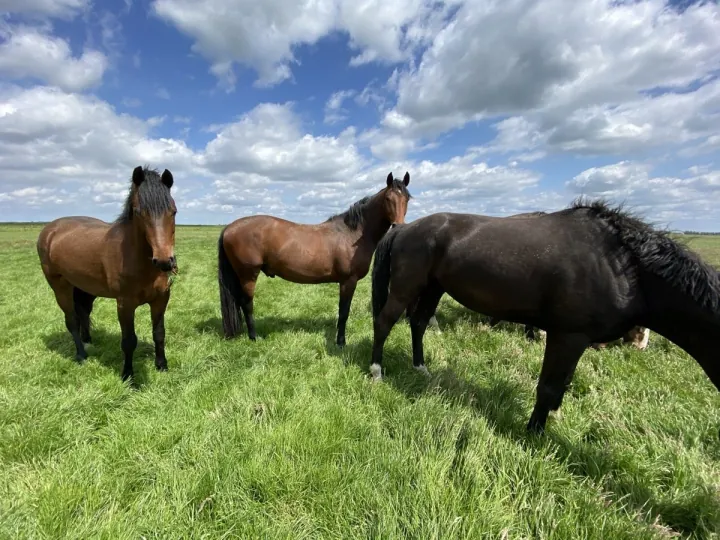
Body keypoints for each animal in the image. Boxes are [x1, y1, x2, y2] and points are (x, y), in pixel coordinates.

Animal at [37, 165, 178, 381]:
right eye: (139, 212)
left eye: (173, 212)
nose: (163, 261)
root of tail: (50, 230)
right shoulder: (125, 305)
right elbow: (129, 341)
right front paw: (128, 376)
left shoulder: (160, 299)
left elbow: (159, 333)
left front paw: (162, 366)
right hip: (60, 287)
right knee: (71, 320)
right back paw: (81, 354)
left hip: (85, 289)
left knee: (83, 312)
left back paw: (88, 341)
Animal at [218, 172, 411, 346]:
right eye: (388, 198)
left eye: (407, 198)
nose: (398, 226)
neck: (352, 235)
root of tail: (229, 227)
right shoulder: (348, 281)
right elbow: (344, 312)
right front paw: (341, 342)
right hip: (248, 274)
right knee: (247, 304)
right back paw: (254, 337)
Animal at [370, 199, 720, 436]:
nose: (640, 348)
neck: (621, 265)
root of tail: (406, 228)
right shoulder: (567, 336)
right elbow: (549, 386)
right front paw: (534, 434)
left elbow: (562, 384)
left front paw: (552, 419)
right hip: (406, 287)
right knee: (385, 322)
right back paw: (376, 370)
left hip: (433, 288)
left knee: (418, 323)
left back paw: (420, 367)